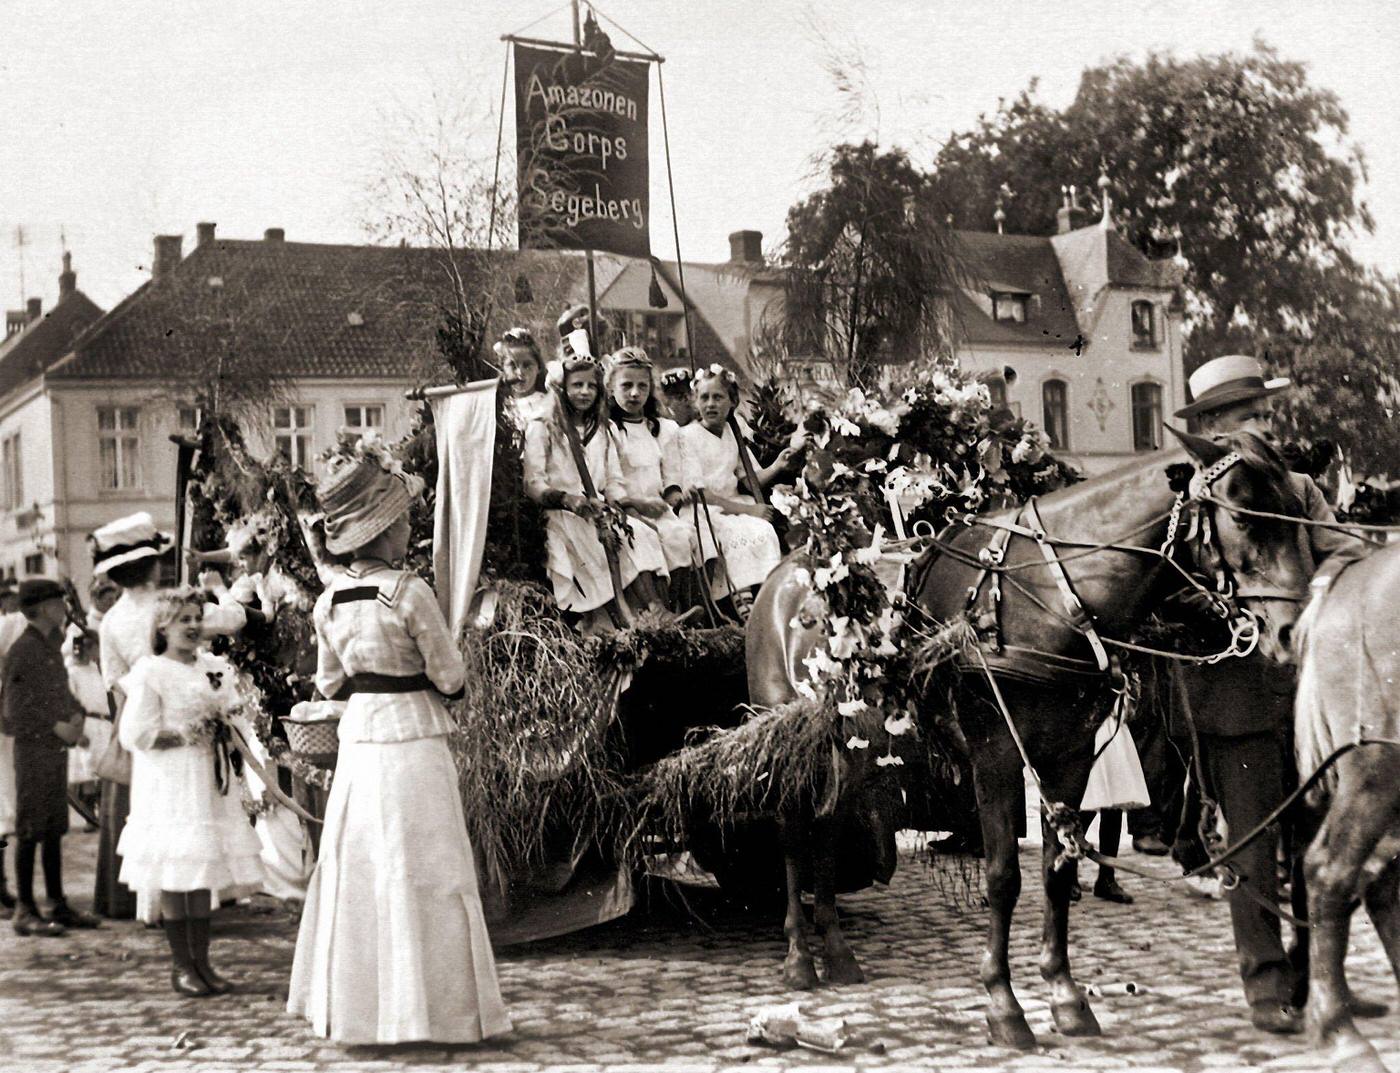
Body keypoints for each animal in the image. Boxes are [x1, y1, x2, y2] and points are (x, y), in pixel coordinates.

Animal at [750, 431, 1316, 1053]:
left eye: (1297, 510)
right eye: (1243, 516)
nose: (1294, 630)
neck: (1052, 597)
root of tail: (787, 571)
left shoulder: (1070, 757)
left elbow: (1057, 871)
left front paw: (1066, 996)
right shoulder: (996, 757)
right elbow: (1004, 877)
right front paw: (1003, 1003)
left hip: (849, 748)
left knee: (827, 827)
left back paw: (836, 949)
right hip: (787, 735)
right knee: (792, 831)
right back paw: (800, 956)